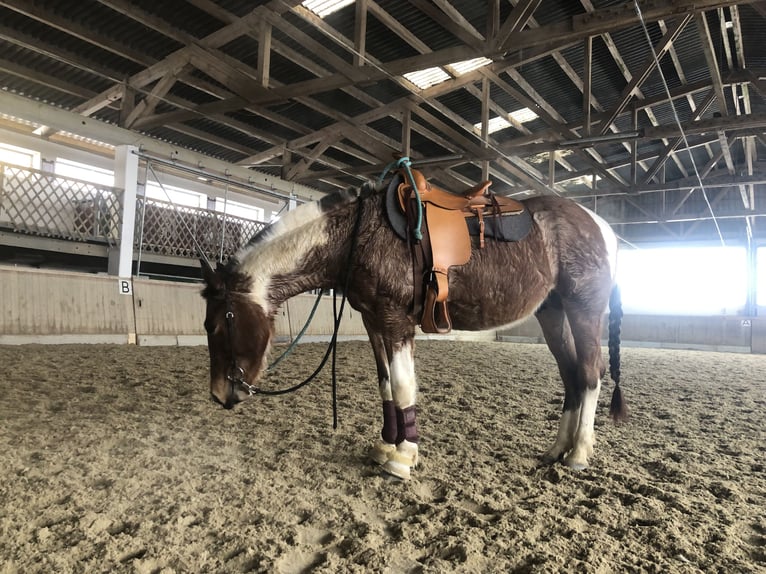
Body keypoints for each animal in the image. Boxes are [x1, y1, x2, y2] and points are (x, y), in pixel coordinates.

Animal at [201, 179, 628, 482]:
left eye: (220, 322)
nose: (220, 394)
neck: (360, 236)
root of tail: (600, 226)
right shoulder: (374, 322)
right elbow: (387, 387)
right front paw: (385, 447)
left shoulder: (395, 321)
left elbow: (404, 386)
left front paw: (403, 458)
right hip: (552, 312)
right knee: (571, 376)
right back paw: (556, 450)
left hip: (583, 309)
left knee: (589, 374)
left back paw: (578, 453)